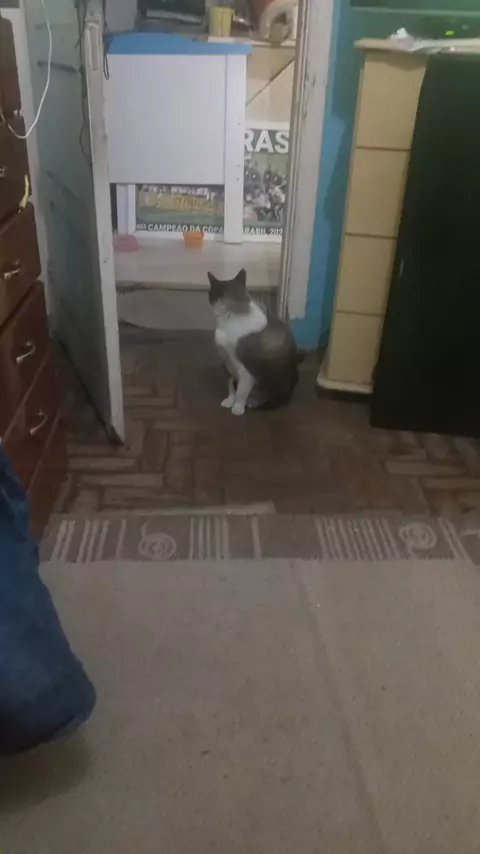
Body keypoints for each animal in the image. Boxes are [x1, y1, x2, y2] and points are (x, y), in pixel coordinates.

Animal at [208, 268, 301, 416]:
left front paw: (237, 408)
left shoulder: (244, 369)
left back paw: (252, 402)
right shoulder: (226, 362)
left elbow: (241, 391)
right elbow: (231, 385)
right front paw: (229, 402)